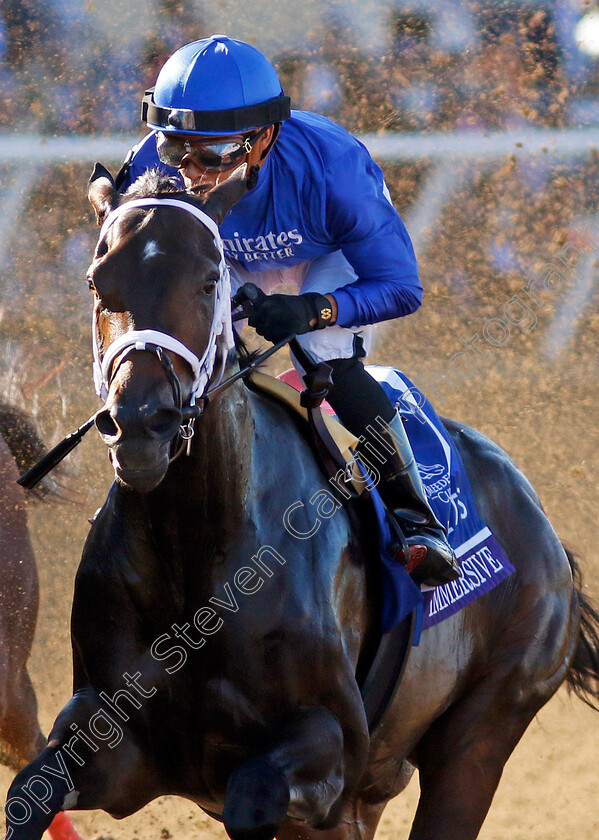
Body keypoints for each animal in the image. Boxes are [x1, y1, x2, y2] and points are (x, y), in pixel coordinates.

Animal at [4, 167, 599, 840]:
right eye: (97, 281)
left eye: (208, 281)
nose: (140, 424)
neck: (197, 546)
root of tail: (543, 527)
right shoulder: (118, 742)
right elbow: (29, 794)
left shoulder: (332, 750)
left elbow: (256, 793)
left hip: (484, 728)